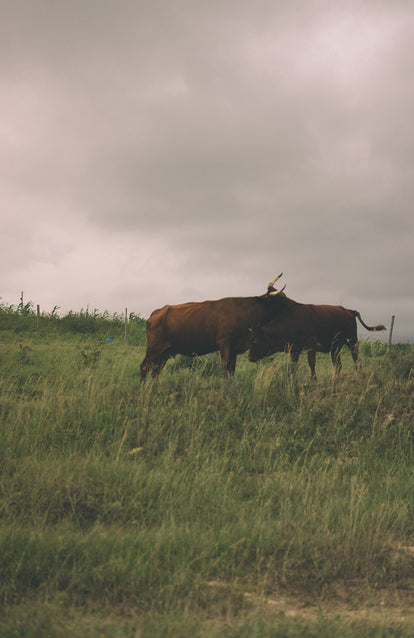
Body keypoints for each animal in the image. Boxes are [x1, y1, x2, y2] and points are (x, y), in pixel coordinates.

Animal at [141, 274, 286, 382]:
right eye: (278, 299)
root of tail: (156, 312)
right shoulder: (224, 342)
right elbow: (225, 367)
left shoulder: (234, 348)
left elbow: (232, 370)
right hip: (154, 348)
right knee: (144, 367)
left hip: (165, 352)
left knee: (155, 372)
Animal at [247, 290, 386, 380]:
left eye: (254, 340)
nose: (249, 357)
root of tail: (349, 310)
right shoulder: (294, 349)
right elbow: (293, 366)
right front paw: (292, 378)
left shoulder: (311, 343)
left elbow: (311, 362)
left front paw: (314, 379)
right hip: (336, 347)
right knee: (338, 364)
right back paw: (335, 379)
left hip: (352, 342)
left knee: (357, 360)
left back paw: (359, 375)